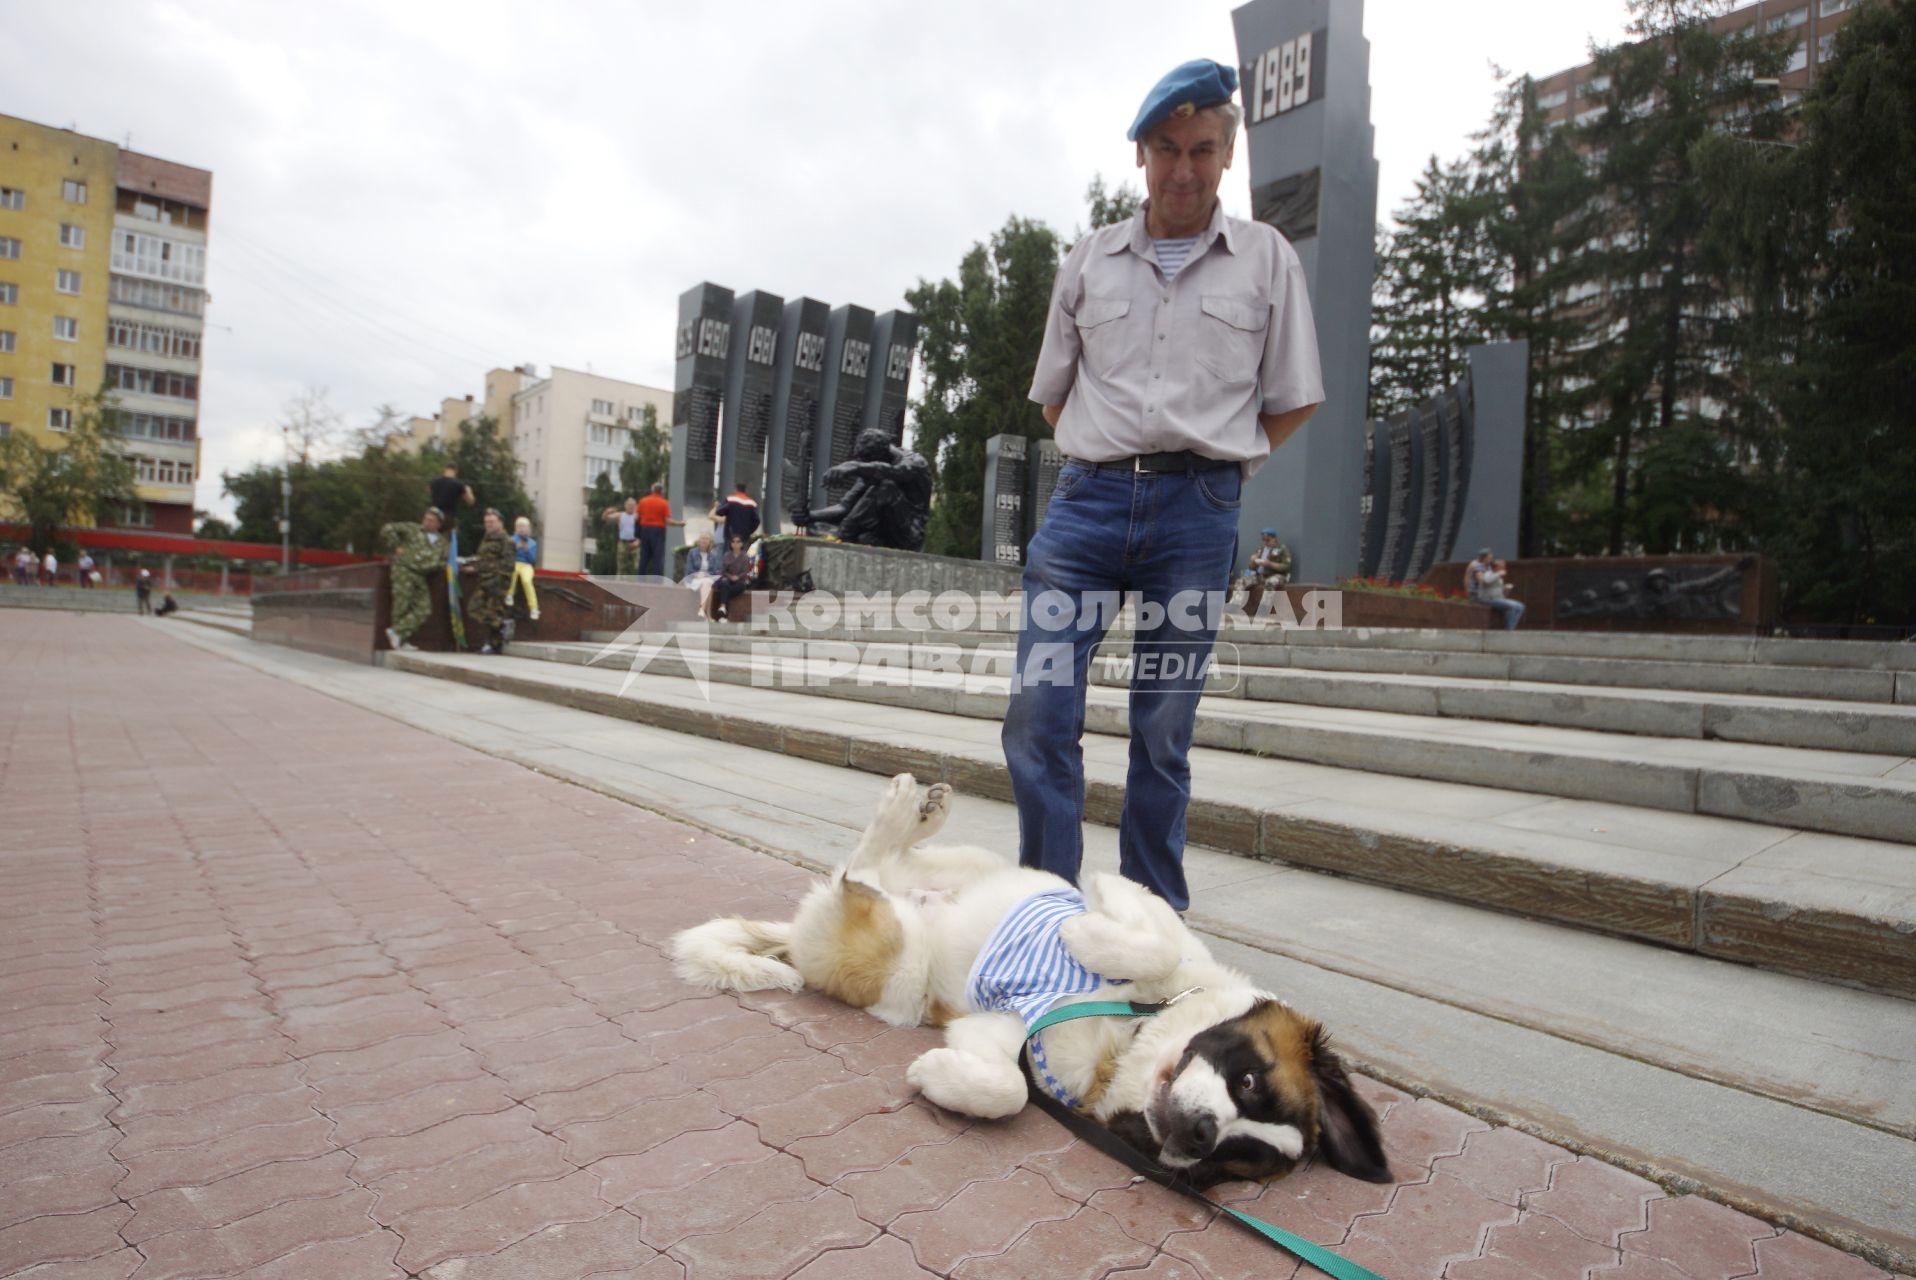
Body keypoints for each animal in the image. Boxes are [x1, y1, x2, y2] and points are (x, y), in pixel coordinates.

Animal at [678, 774, 1394, 1188]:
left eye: (1235, 1158)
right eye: (1248, 1080)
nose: (1200, 1136)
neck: (1131, 1033)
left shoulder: (1002, 1028)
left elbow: (1008, 1090)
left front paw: (938, 1077)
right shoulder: (1144, 908)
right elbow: (1152, 937)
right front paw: (1083, 936)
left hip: (899, 966)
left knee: (866, 877)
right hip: (959, 893)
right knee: (870, 862)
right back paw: (910, 807)